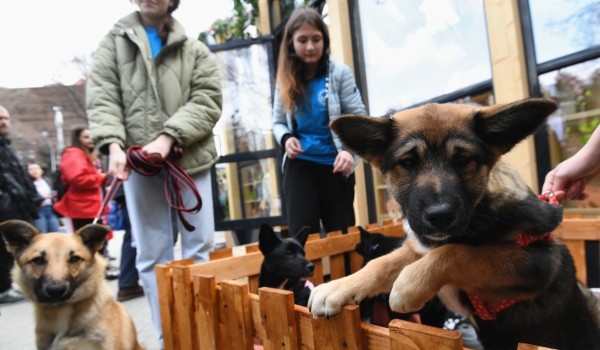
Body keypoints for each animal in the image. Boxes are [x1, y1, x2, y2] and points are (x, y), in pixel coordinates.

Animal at [308, 98, 600, 350]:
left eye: (462, 160)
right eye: (408, 162)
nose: (439, 216)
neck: (480, 210)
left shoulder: (536, 262)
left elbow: (457, 252)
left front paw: (408, 286)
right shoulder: (418, 249)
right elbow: (380, 263)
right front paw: (338, 287)